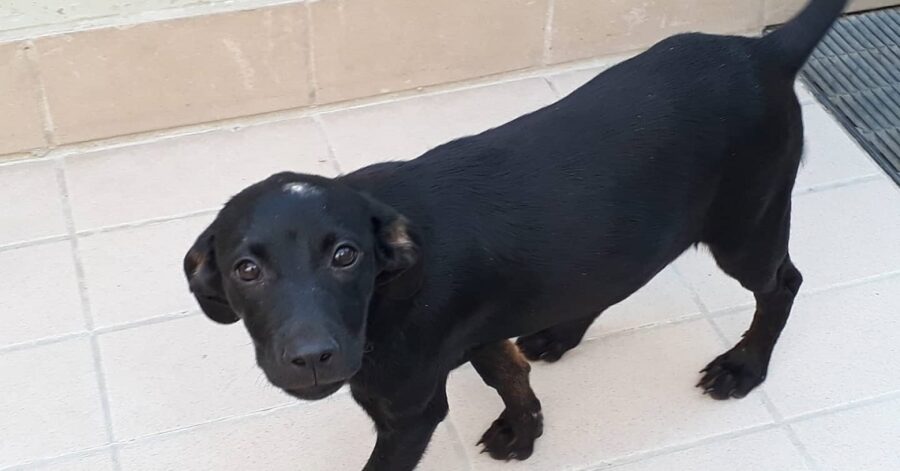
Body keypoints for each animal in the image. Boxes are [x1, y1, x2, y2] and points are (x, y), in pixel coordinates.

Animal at [186, 1, 848, 470]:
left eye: (345, 257)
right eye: (247, 270)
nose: (311, 358)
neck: (387, 292)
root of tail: (763, 52)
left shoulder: (409, 410)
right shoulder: (479, 332)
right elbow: (510, 376)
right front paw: (524, 430)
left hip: (747, 228)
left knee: (783, 282)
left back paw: (745, 366)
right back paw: (560, 332)